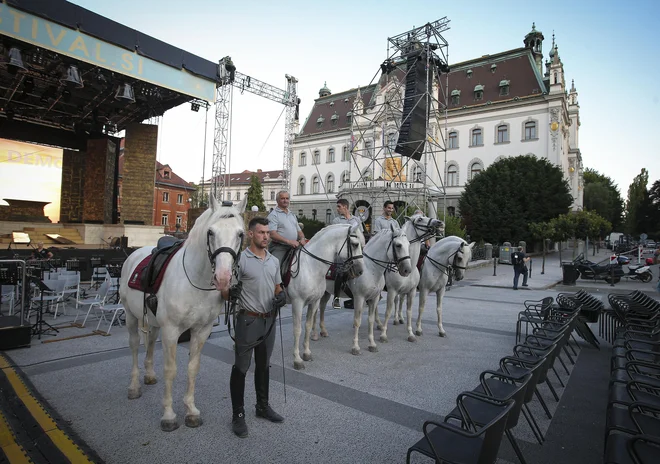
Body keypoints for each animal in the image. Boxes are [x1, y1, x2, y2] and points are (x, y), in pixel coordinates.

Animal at [118, 195, 245, 432]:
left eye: (240, 234)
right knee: (134, 346)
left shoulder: (201, 330)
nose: (223, 278)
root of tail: (134, 254)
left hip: (153, 321)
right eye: (210, 232)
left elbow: (192, 368)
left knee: (150, 342)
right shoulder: (171, 331)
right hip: (130, 316)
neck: (195, 279)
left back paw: (149, 375)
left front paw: (191, 411)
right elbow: (171, 370)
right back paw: (134, 386)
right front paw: (168, 415)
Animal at [284, 224, 364, 370]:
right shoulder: (297, 302)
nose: (361, 271)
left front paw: (306, 353)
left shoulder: (314, 301)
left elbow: (308, 325)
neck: (310, 266)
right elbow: (297, 330)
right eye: (355, 244)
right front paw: (297, 359)